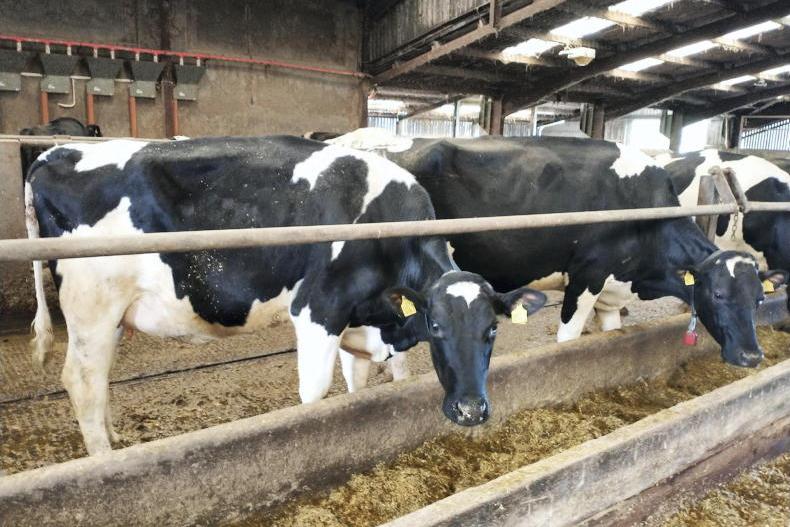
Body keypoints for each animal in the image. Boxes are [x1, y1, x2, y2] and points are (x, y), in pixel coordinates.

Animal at [25, 136, 547, 454]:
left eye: (492, 330)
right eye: (436, 326)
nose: (470, 410)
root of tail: (55, 152)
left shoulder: (360, 319)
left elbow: (360, 385)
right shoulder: (318, 311)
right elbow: (314, 395)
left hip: (110, 315)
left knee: (99, 379)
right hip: (91, 304)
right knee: (82, 382)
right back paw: (102, 458)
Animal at [328, 130, 787, 369]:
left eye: (760, 299)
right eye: (718, 294)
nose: (752, 355)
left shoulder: (614, 289)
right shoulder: (587, 276)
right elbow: (568, 339)